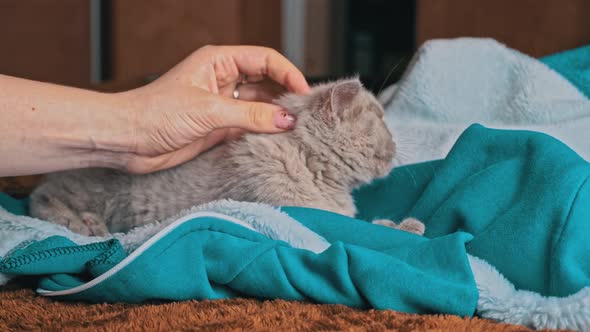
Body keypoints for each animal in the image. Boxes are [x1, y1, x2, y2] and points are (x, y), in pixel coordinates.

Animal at [28, 79, 426, 236]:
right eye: (381, 119)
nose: (396, 143)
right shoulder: (300, 211)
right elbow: (360, 229)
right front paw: (407, 225)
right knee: (40, 198)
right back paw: (86, 224)